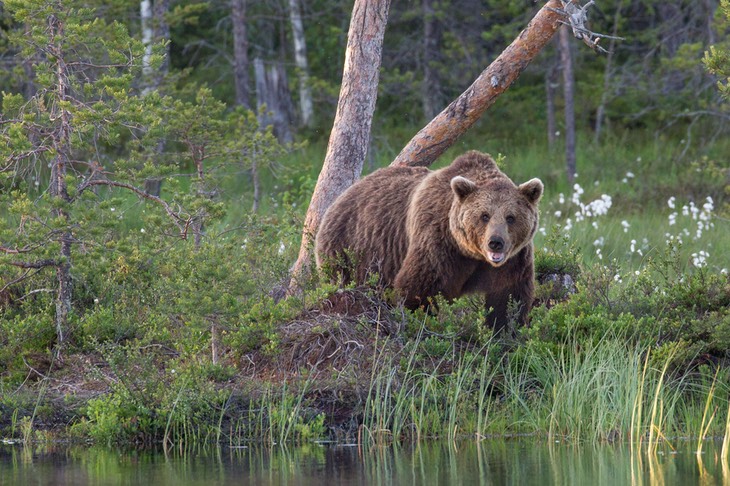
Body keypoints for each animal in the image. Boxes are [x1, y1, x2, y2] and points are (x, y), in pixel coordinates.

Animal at [312, 152, 540, 332]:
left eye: (510, 217)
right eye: (484, 215)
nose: (495, 242)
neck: (472, 253)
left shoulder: (513, 259)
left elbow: (508, 296)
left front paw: (504, 330)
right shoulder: (439, 242)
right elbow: (420, 288)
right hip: (351, 250)